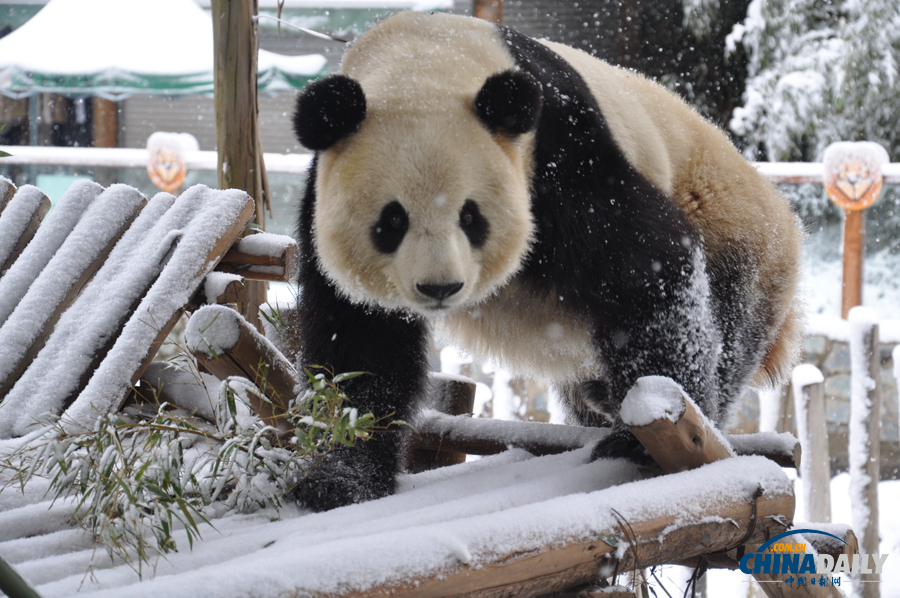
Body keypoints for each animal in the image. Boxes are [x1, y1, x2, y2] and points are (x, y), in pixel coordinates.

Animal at [290, 11, 800, 512]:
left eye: (470, 216)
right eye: (392, 221)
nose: (439, 288)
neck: (422, 60)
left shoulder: (563, 152)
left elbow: (645, 266)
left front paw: (646, 432)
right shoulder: (323, 190)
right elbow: (362, 342)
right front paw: (341, 479)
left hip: (735, 239)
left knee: (726, 336)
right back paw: (599, 399)